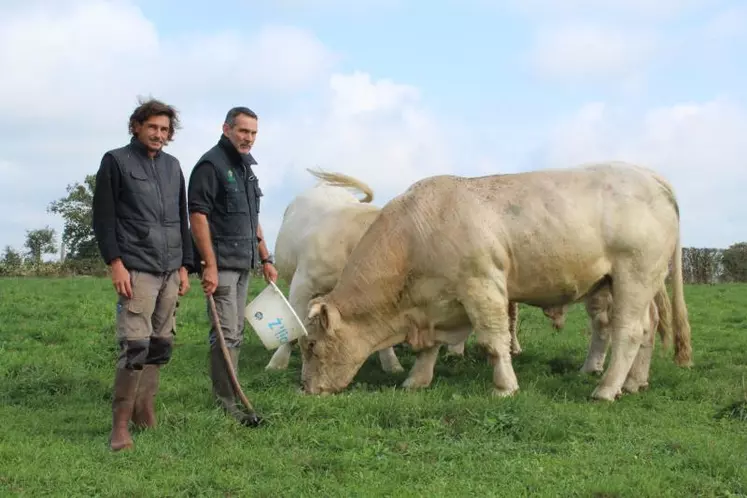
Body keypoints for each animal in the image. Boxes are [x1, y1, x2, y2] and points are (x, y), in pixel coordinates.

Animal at [302, 161, 696, 402]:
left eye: (312, 346)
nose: (304, 387)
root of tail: (647, 174)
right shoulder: (436, 303)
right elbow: (430, 349)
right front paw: (416, 380)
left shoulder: (482, 286)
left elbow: (494, 341)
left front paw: (505, 387)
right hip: (631, 282)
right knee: (646, 329)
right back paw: (634, 382)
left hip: (635, 274)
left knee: (628, 331)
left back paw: (606, 388)